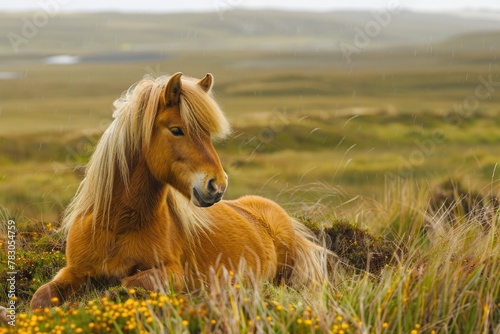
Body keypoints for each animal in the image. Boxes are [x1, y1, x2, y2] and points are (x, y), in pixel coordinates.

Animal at [31, 72, 328, 308]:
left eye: (207, 134)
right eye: (176, 130)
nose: (217, 186)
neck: (118, 225)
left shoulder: (174, 273)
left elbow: (127, 284)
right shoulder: (74, 270)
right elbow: (41, 296)